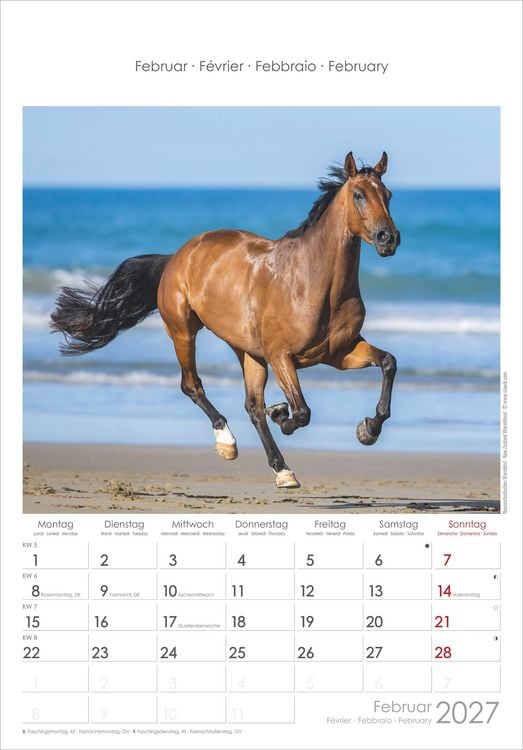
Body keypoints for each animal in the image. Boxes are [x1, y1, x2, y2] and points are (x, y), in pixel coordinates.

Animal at [51, 151, 400, 489]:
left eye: (388, 195)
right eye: (358, 195)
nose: (388, 238)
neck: (314, 284)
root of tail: (176, 257)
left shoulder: (338, 352)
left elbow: (388, 362)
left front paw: (368, 429)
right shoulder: (281, 356)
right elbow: (302, 412)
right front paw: (282, 416)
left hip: (247, 351)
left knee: (252, 406)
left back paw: (282, 469)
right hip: (184, 332)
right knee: (192, 385)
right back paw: (228, 441)